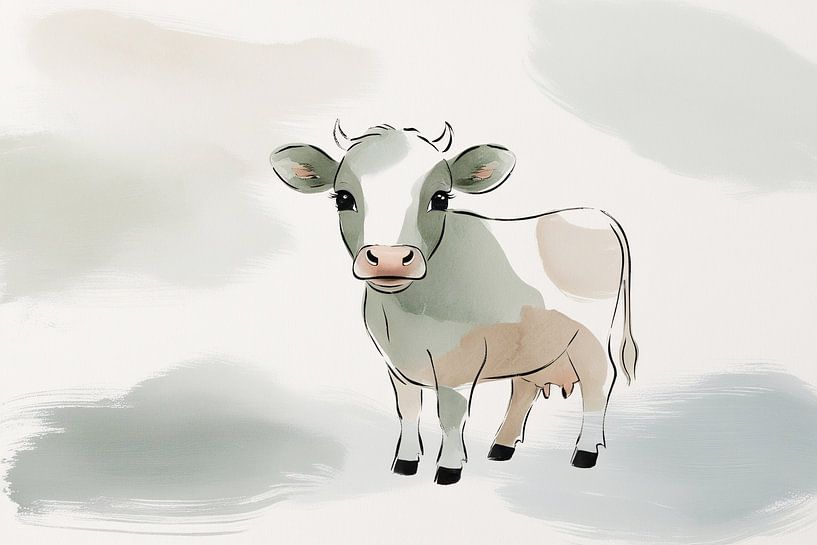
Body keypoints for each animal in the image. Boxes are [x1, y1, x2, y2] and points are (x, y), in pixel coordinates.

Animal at [271, 121, 638, 485]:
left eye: (440, 198)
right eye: (344, 198)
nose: (389, 259)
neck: (406, 314)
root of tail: (596, 215)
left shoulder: (458, 366)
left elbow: (449, 416)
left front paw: (448, 468)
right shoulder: (397, 367)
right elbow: (408, 411)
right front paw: (405, 463)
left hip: (589, 340)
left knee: (597, 384)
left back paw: (585, 452)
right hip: (533, 341)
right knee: (524, 387)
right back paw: (501, 447)